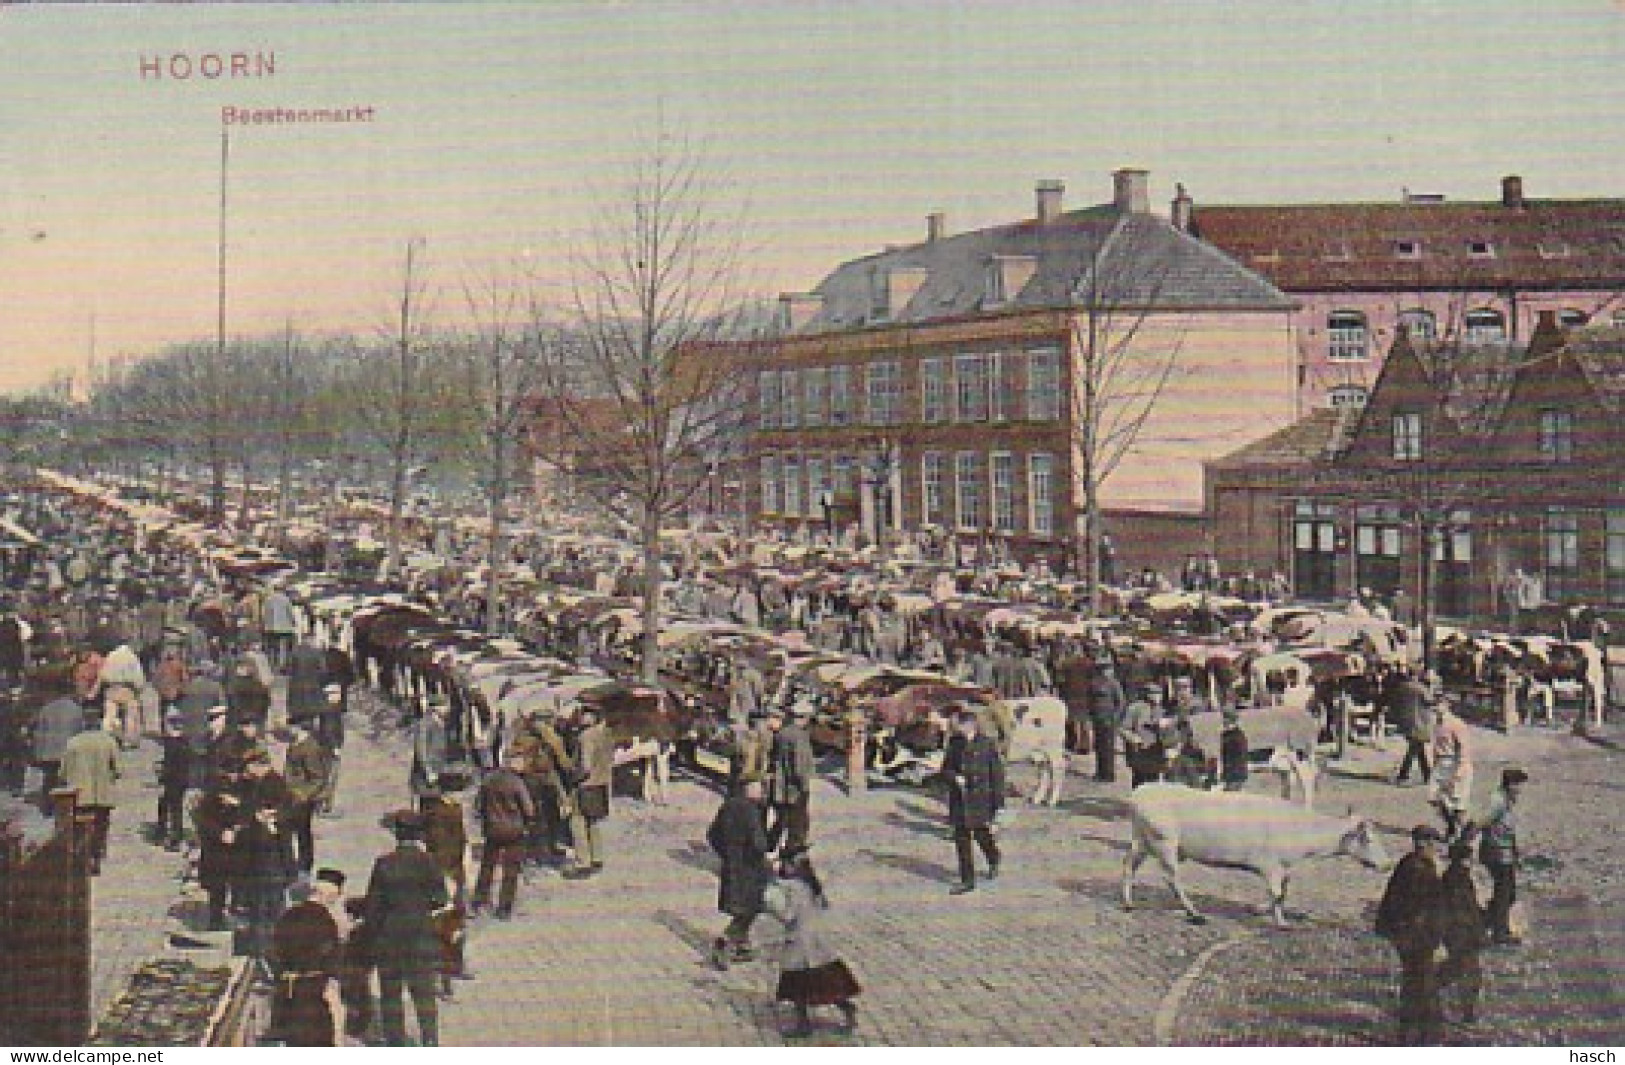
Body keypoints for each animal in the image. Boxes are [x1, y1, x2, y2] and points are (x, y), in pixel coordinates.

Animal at [1124, 783, 1391, 923]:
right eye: (1368, 839)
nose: (1388, 865)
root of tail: (1138, 793)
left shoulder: (1283, 867)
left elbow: (1282, 891)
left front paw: (1260, 910)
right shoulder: (1271, 865)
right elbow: (1277, 893)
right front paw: (1280, 921)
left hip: (1142, 840)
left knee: (1129, 865)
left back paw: (1128, 903)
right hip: (1164, 843)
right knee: (1171, 878)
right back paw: (1194, 912)